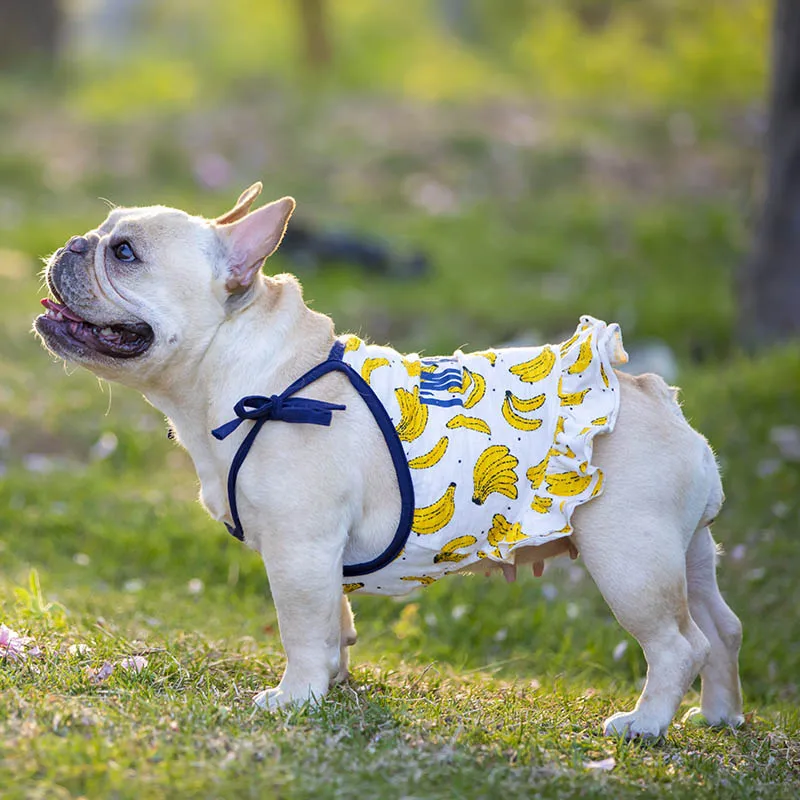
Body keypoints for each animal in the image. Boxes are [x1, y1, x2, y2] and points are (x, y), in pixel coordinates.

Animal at [32, 181, 744, 736]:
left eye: (125, 253)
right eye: (102, 237)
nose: (73, 244)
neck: (246, 371)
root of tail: (655, 396)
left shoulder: (299, 548)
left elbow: (301, 627)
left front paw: (295, 698)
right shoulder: (315, 558)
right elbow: (332, 622)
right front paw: (333, 685)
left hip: (629, 557)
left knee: (680, 643)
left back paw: (643, 724)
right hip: (684, 553)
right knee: (722, 628)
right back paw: (718, 716)